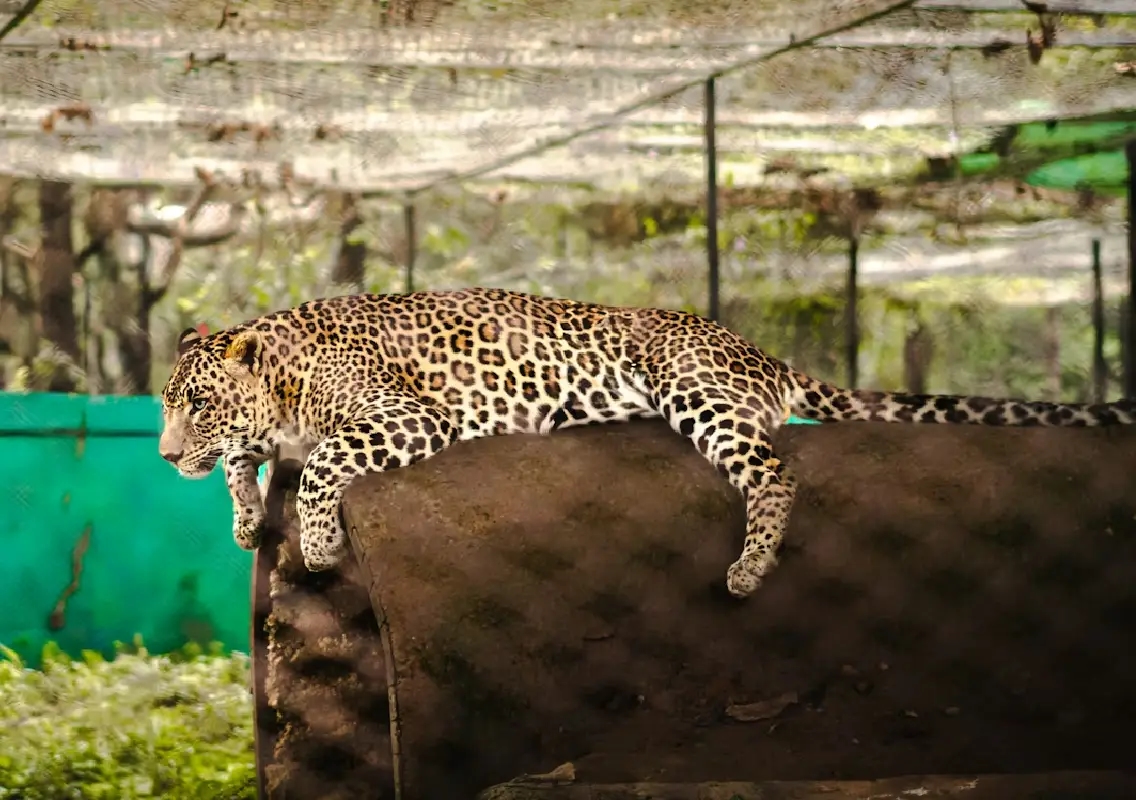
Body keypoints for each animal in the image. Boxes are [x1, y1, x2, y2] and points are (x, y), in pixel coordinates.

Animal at [158, 288, 1136, 598]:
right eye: (166, 409)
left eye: (196, 405)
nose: (164, 456)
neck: (285, 378)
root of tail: (756, 350)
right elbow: (243, 468)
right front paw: (244, 517)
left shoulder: (405, 415)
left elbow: (325, 461)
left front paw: (319, 544)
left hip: (693, 390)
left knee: (777, 470)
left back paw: (750, 568)